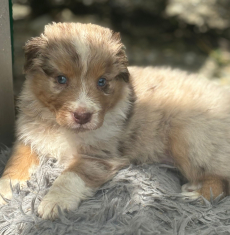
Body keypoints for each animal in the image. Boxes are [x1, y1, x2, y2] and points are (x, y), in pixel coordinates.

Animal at [0, 22, 230, 218]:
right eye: (61, 79)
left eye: (102, 82)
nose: (83, 116)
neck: (60, 127)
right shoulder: (30, 137)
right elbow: (15, 165)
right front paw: (5, 190)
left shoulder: (98, 155)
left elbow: (71, 176)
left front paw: (55, 202)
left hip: (189, 136)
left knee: (220, 181)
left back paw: (196, 195)